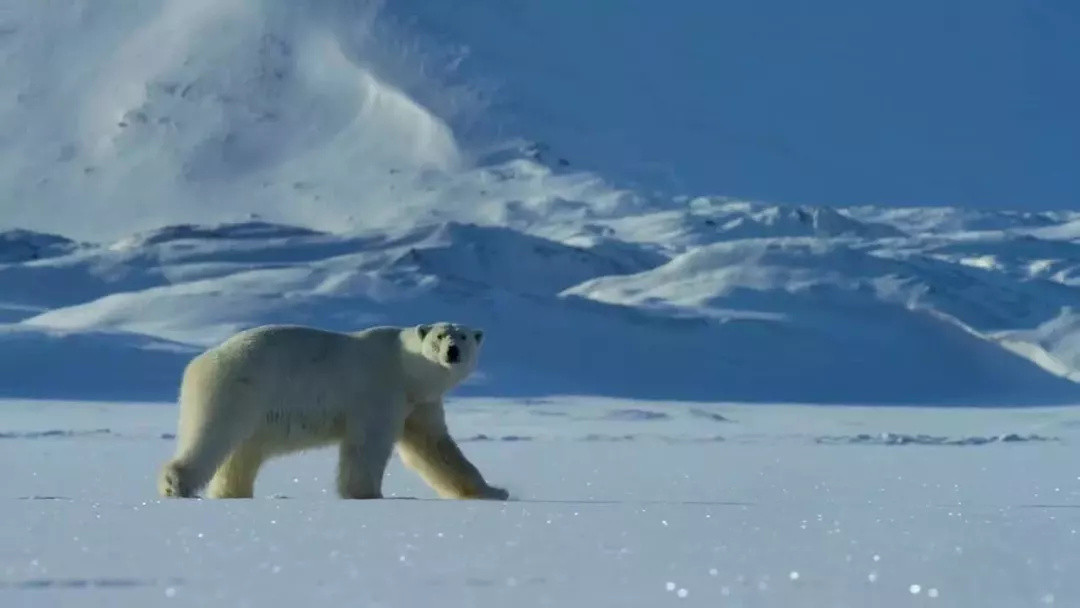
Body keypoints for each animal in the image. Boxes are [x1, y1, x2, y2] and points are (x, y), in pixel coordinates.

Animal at [154, 321, 507, 501]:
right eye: (439, 336)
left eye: (464, 335)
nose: (453, 351)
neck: (407, 367)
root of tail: (198, 362)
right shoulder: (379, 391)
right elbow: (368, 444)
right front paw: (366, 494)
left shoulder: (418, 403)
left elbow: (435, 448)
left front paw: (493, 491)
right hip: (237, 388)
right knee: (212, 435)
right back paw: (176, 484)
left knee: (241, 454)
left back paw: (233, 492)